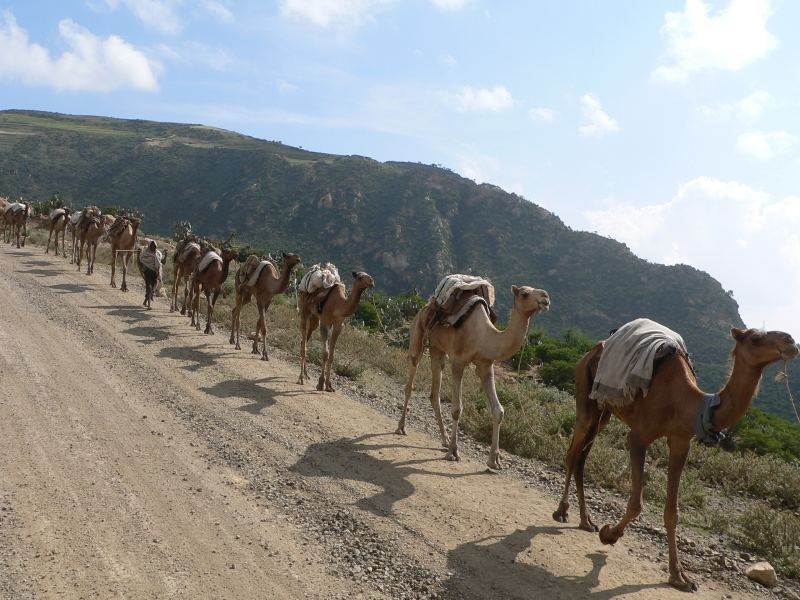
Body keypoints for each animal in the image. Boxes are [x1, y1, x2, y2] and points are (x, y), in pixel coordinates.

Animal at [396, 284, 552, 472]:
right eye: (524, 293)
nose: (545, 297)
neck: (484, 336)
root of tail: (425, 307)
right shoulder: (458, 362)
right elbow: (457, 409)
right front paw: (453, 452)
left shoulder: (486, 366)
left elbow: (498, 410)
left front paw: (494, 461)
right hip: (418, 334)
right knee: (411, 377)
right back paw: (401, 427)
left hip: (437, 348)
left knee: (435, 393)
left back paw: (444, 440)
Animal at [552, 324, 796, 592]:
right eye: (756, 337)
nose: (790, 341)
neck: (690, 404)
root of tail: (593, 350)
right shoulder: (639, 436)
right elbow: (636, 503)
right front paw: (609, 534)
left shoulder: (681, 442)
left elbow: (672, 512)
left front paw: (679, 576)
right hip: (585, 388)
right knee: (573, 453)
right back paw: (562, 511)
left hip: (604, 410)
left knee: (582, 458)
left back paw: (586, 521)